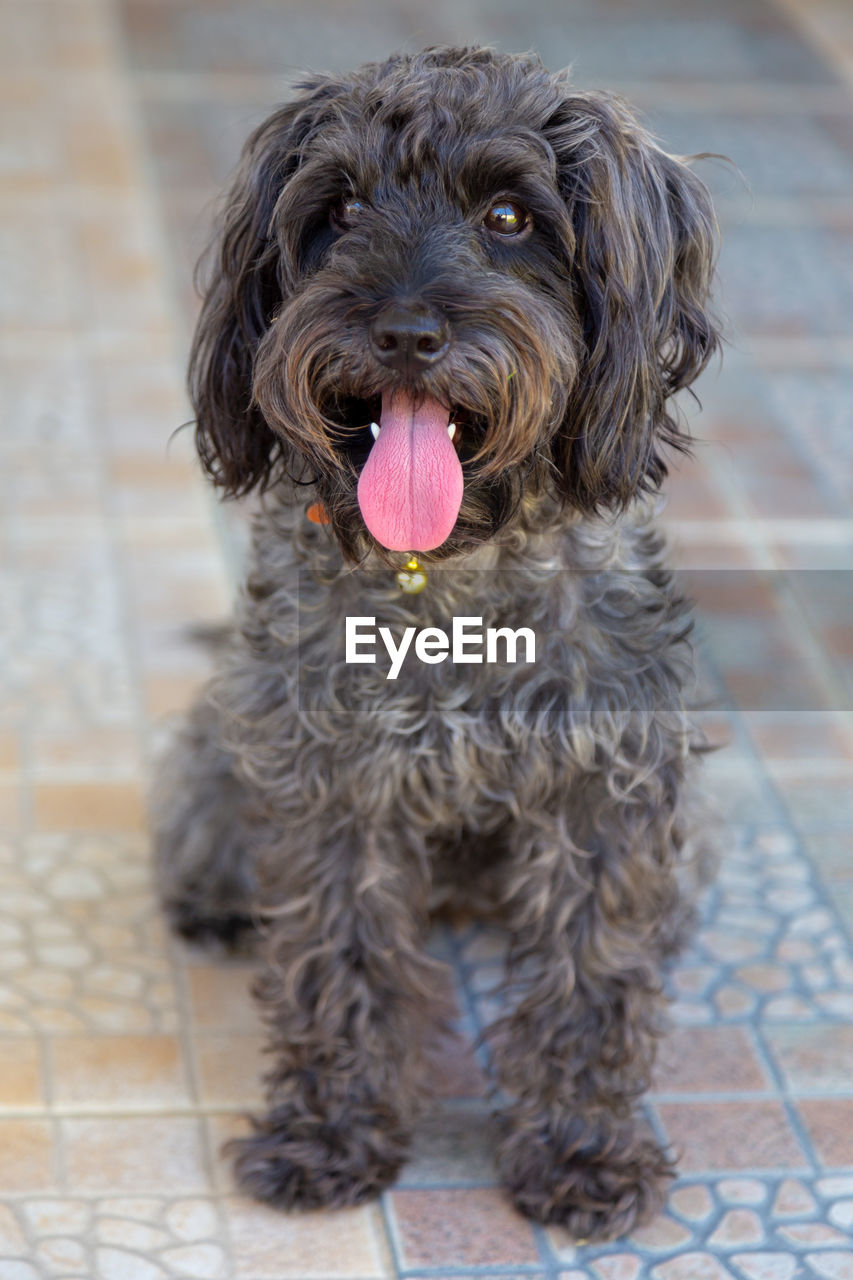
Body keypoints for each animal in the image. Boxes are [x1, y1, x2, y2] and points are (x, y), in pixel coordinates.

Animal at [151, 47, 717, 1239]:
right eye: (340, 210)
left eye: (508, 215)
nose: (406, 333)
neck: (448, 575)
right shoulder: (330, 788)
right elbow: (339, 965)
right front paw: (330, 1134)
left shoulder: (603, 787)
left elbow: (590, 979)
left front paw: (582, 1150)